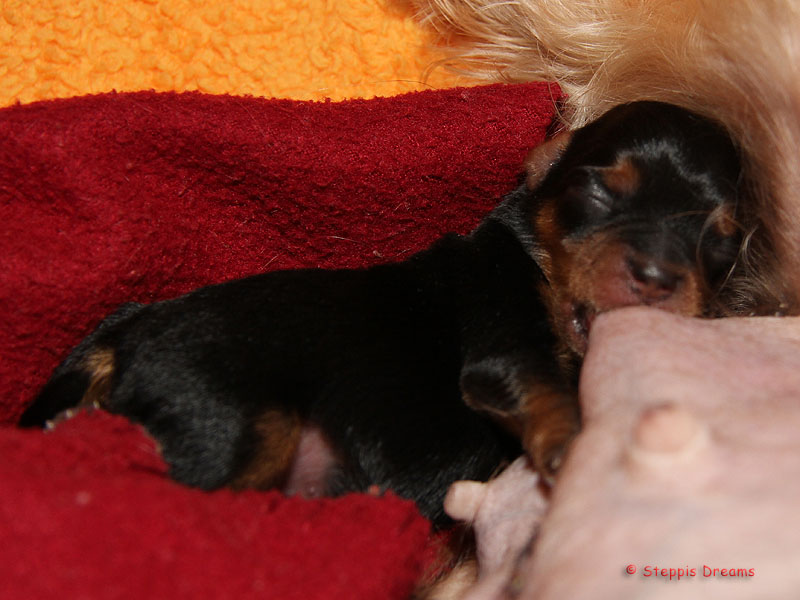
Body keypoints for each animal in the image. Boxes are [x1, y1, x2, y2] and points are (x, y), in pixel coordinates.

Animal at [19, 101, 743, 529]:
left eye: (722, 238)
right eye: (596, 191)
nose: (656, 278)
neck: (530, 249)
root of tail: (125, 328)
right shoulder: (503, 338)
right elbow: (544, 386)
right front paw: (577, 444)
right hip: (226, 414)